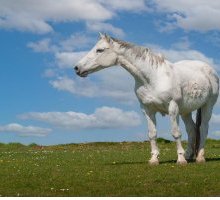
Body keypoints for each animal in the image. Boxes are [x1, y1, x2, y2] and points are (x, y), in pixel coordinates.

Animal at [75, 32, 219, 164]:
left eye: (99, 50)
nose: (77, 68)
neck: (153, 78)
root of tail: (208, 69)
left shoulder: (173, 107)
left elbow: (175, 132)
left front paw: (181, 160)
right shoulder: (147, 109)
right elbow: (152, 134)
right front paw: (154, 159)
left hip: (207, 106)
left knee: (203, 128)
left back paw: (199, 157)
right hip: (185, 111)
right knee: (192, 130)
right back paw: (189, 155)